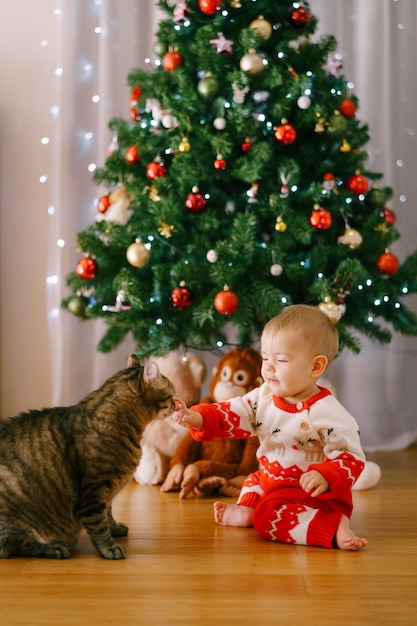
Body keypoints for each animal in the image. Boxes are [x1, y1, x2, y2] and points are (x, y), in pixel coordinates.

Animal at [0, 354, 175, 560]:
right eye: (171, 395)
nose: (176, 404)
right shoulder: (94, 492)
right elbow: (99, 526)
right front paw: (109, 548)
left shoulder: (106, 493)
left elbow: (108, 514)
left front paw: (115, 528)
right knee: (16, 545)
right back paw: (53, 547)